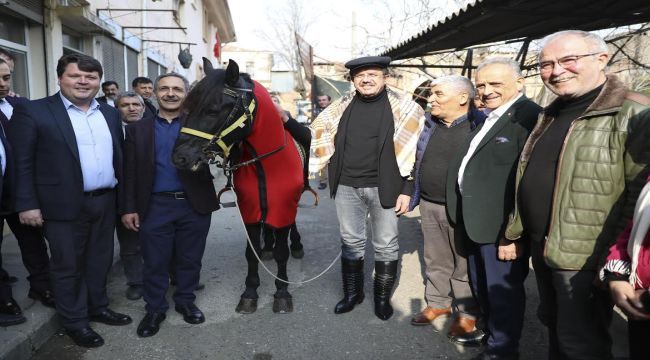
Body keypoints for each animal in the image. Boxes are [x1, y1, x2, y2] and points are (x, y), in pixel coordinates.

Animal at [172, 57, 304, 314]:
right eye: (188, 107)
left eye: (212, 110)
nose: (180, 157)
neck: (265, 163)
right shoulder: (251, 210)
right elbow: (251, 254)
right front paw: (250, 292)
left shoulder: (283, 208)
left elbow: (282, 252)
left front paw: (282, 292)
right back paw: (268, 247)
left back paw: (296, 244)